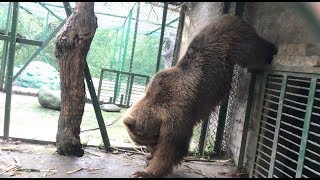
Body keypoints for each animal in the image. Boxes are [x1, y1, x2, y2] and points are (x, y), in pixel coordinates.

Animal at [121, 14, 276, 177]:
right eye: (143, 142)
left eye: (148, 139)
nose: (149, 150)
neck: (159, 106)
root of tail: (231, 17)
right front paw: (149, 159)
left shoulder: (177, 111)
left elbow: (173, 145)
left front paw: (147, 171)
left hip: (236, 43)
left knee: (255, 51)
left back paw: (271, 51)